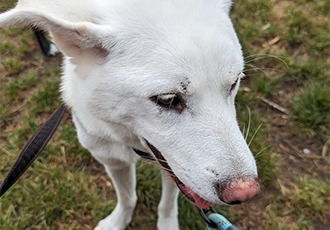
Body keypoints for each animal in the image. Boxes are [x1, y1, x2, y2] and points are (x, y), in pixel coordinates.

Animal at [0, 0, 260, 229]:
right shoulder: (112, 160)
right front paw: (117, 222)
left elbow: (167, 205)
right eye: (167, 99)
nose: (245, 193)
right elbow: (126, 198)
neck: (132, 142)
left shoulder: (173, 170)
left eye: (234, 83)